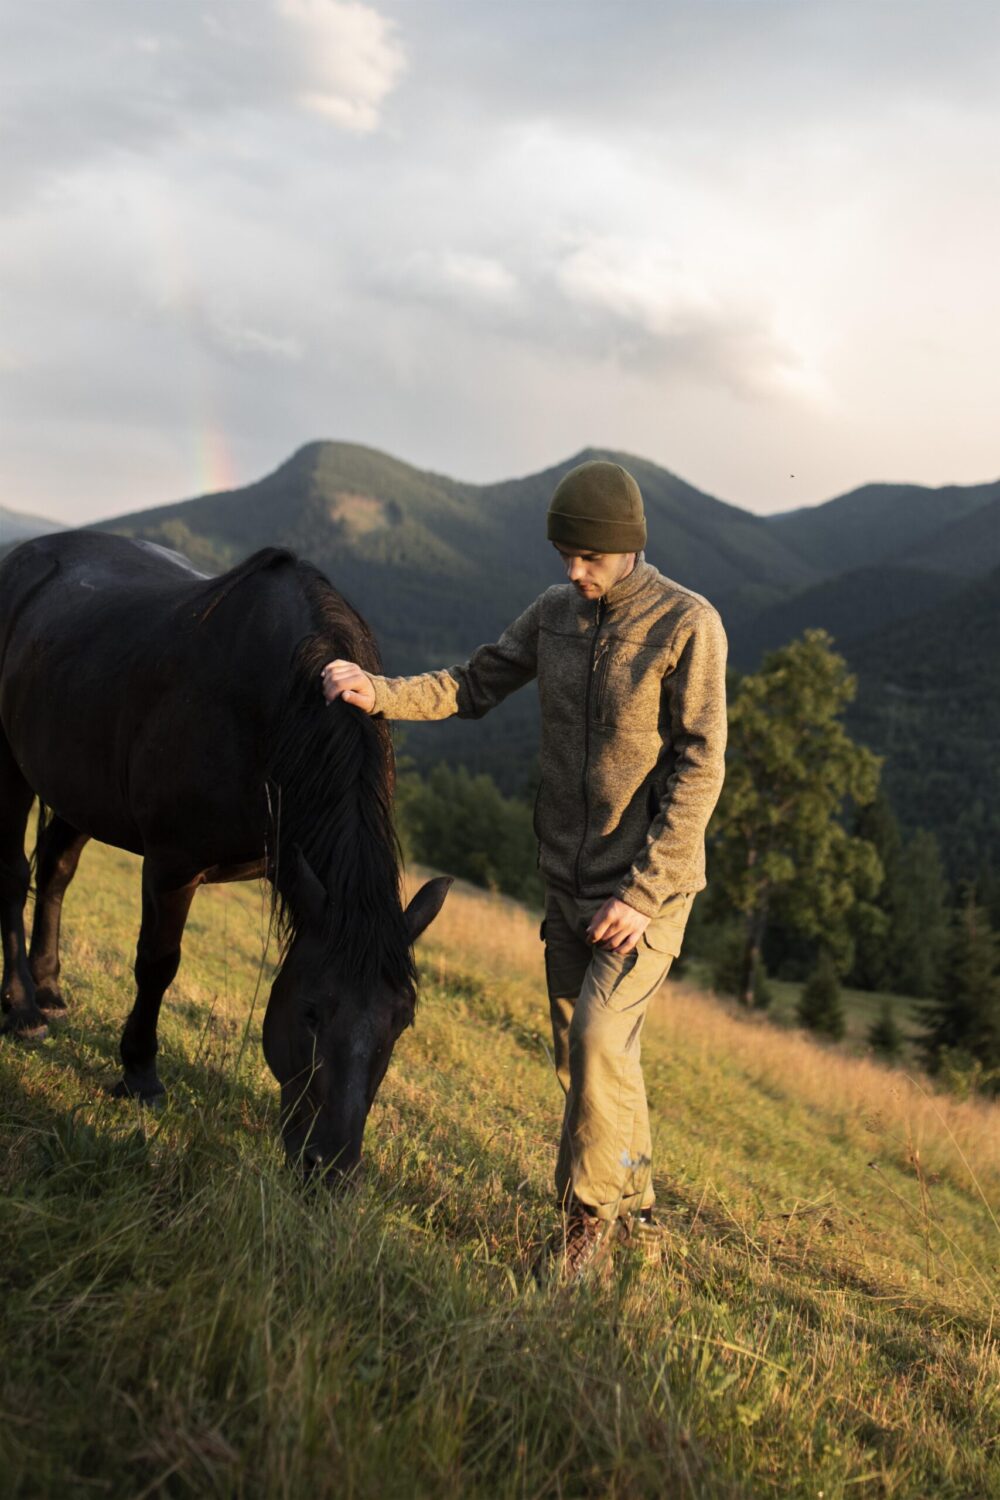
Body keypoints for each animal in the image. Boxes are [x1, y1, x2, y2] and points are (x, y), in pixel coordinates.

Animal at [0, 531, 450, 1174]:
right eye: (311, 1010)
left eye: (402, 1020)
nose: (331, 1169)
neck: (271, 704)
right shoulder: (173, 865)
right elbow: (158, 964)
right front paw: (139, 1075)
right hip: (10, 759)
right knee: (15, 876)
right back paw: (23, 1009)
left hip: (79, 784)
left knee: (57, 870)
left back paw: (50, 990)